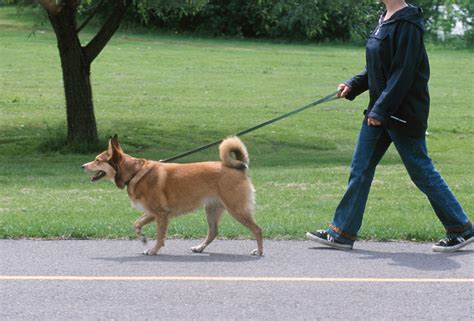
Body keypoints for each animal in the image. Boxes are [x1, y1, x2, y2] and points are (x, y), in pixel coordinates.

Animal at [79, 135, 262, 255]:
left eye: (97, 160)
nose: (82, 166)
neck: (134, 172)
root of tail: (238, 167)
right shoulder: (152, 213)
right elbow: (136, 224)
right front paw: (142, 238)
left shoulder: (161, 214)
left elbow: (160, 236)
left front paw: (153, 250)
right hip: (211, 209)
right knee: (213, 232)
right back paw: (200, 248)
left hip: (236, 209)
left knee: (257, 229)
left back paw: (259, 251)